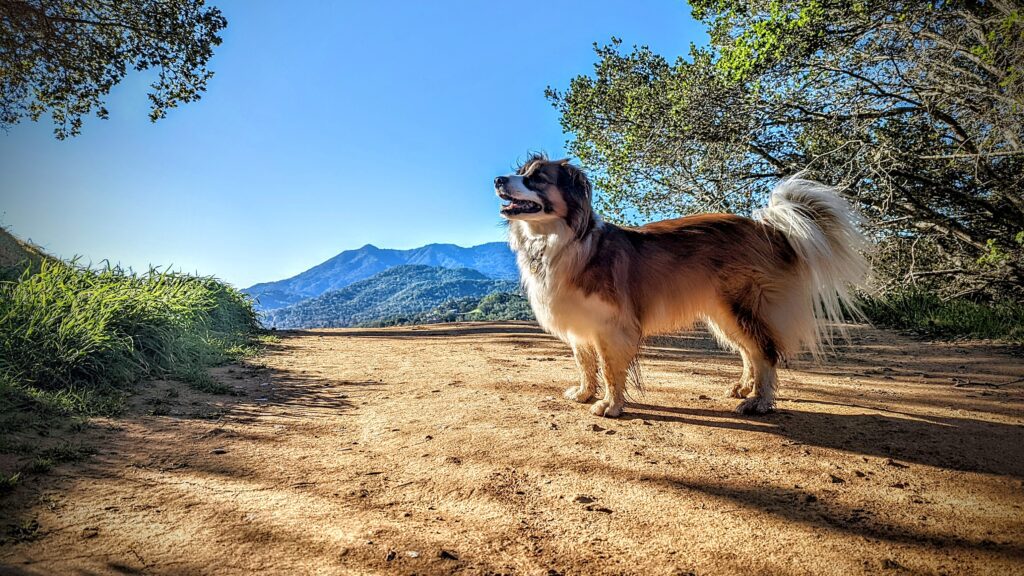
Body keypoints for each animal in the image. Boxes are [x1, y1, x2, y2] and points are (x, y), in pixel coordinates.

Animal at [491, 154, 868, 414]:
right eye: (522, 173)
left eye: (537, 179)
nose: (497, 179)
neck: (561, 240)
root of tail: (770, 230)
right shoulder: (581, 323)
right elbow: (585, 363)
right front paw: (584, 393)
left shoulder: (611, 326)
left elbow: (611, 369)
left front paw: (611, 406)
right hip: (723, 315)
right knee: (751, 352)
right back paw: (744, 388)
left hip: (741, 306)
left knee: (765, 352)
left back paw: (759, 402)